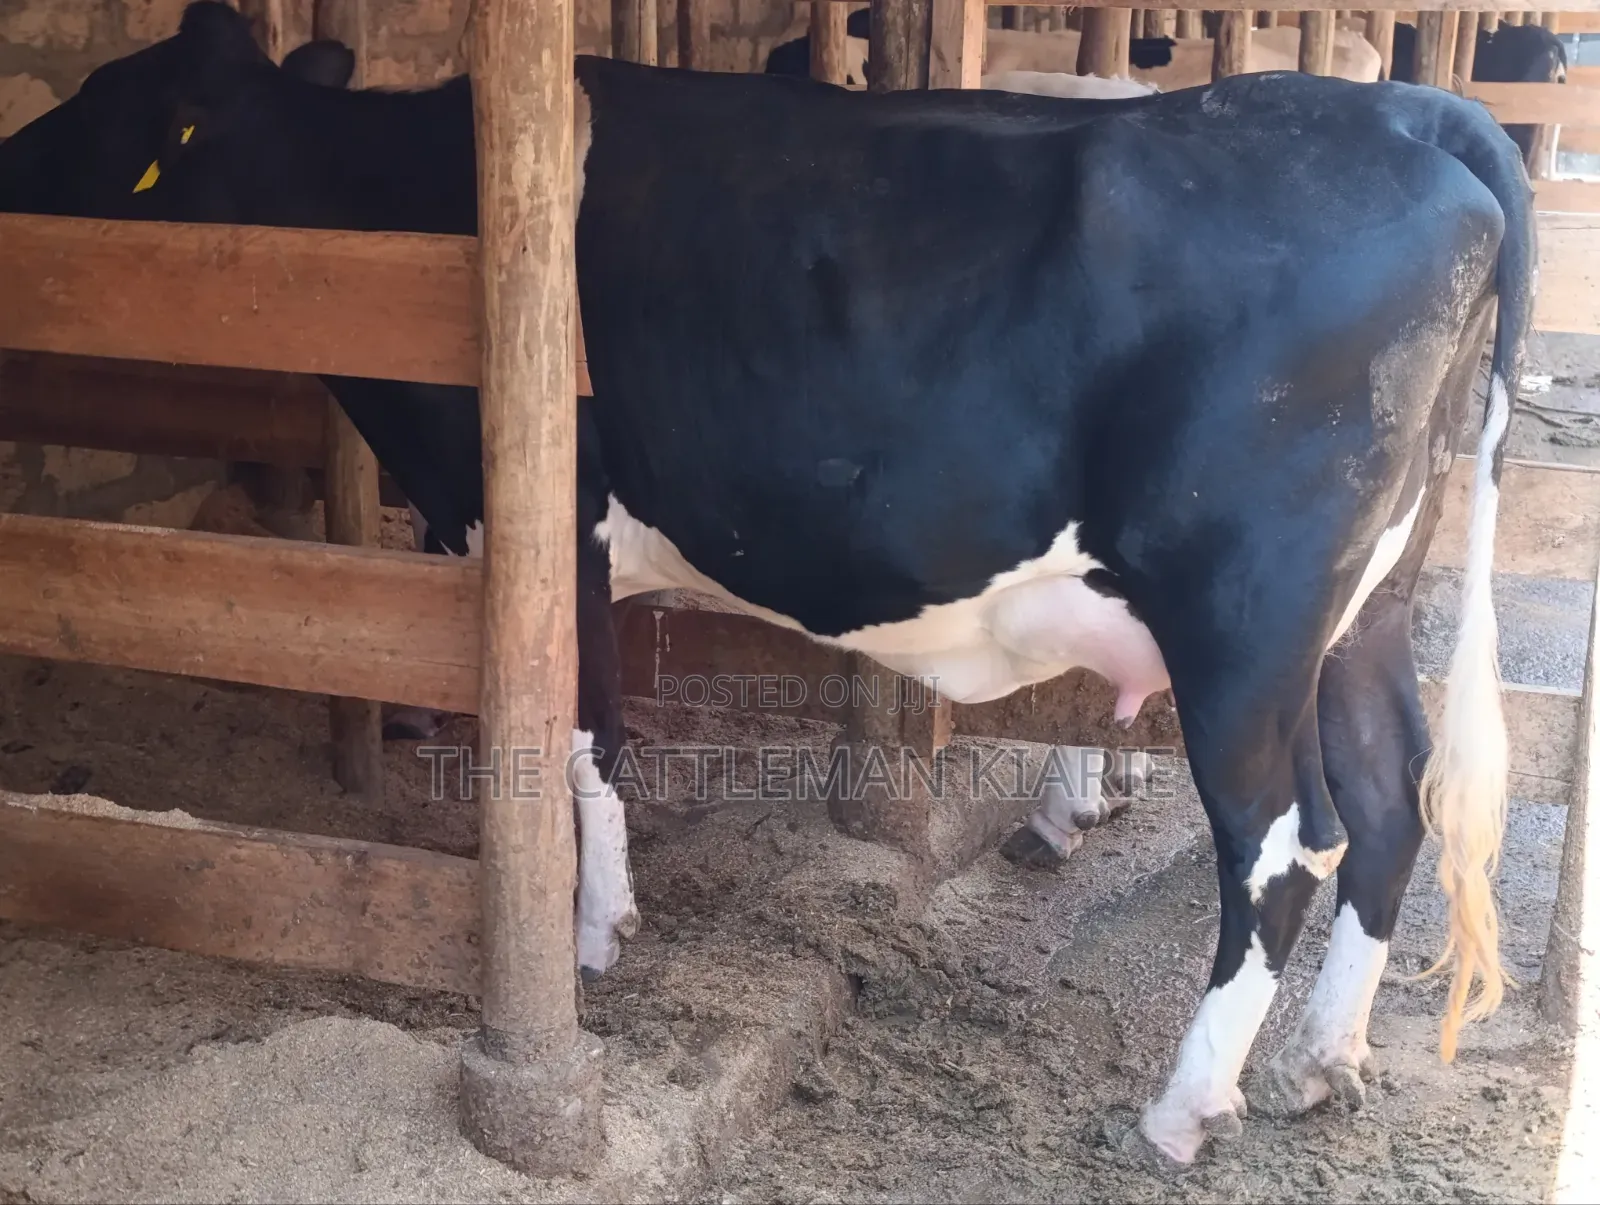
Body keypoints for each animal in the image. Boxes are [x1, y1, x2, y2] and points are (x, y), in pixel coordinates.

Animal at [0, 3, 1535, 1167]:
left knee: (1285, 839)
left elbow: (580, 731)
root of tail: (1411, 119)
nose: (6, 165)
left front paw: (591, 935)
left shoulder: (550, 510)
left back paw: (1182, 1104)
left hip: (1245, 615)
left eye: (93, 108)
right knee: (1390, 796)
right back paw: (1321, 1062)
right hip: (1363, 610)